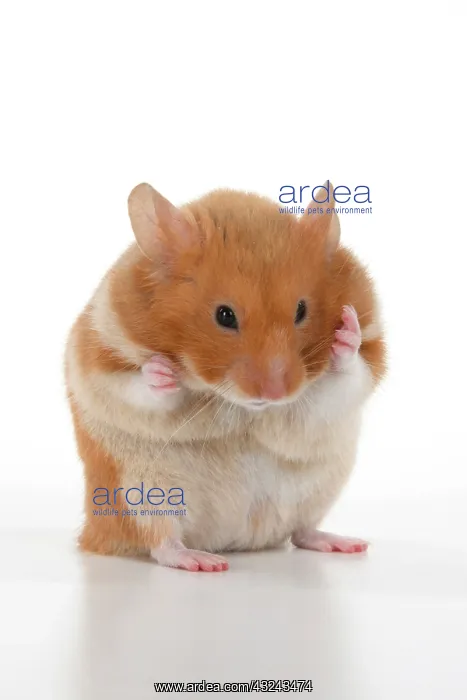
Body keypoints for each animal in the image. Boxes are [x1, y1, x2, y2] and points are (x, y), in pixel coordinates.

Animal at [65, 182, 386, 572]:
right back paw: (205, 562)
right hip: (136, 495)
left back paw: (349, 544)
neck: (241, 404)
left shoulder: (341, 386)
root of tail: (237, 541)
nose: (275, 394)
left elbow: (346, 376)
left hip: (321, 489)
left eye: (301, 310)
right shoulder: (98, 363)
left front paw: (345, 334)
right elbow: (137, 387)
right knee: (162, 543)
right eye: (224, 315)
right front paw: (163, 372)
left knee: (301, 531)